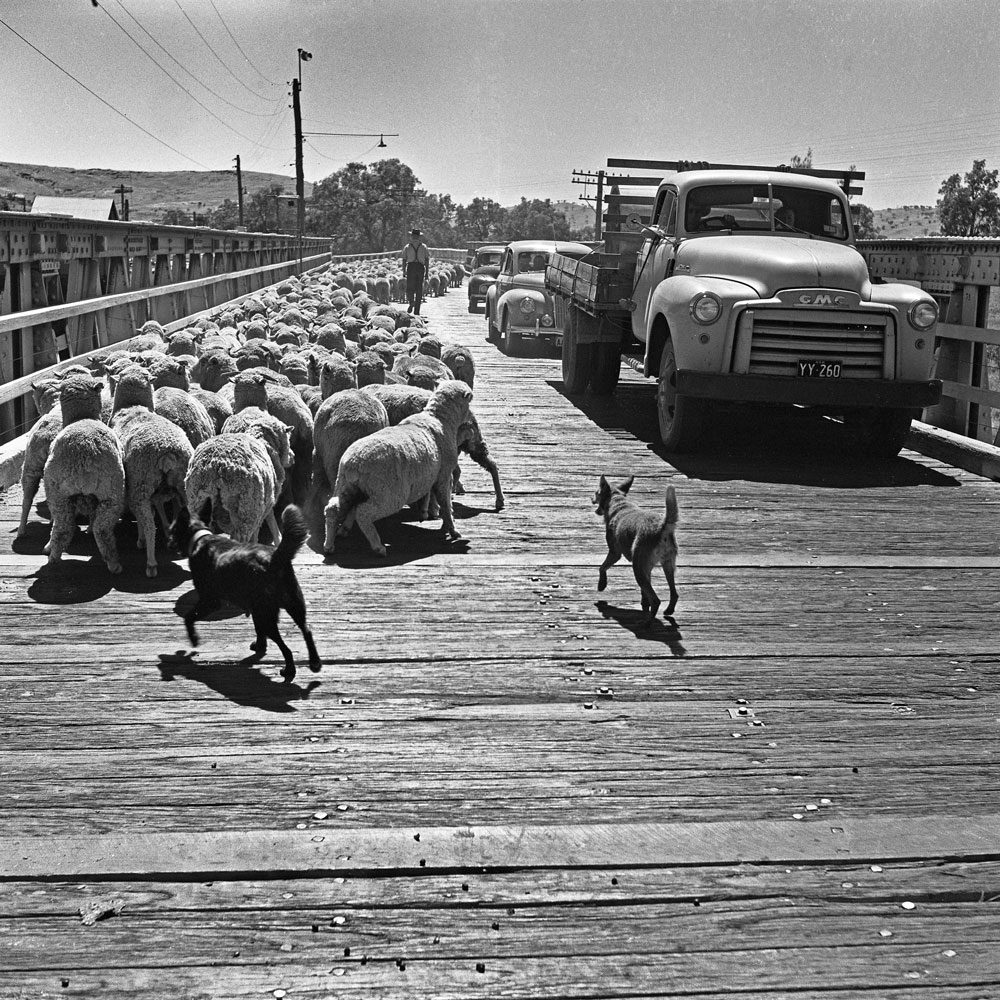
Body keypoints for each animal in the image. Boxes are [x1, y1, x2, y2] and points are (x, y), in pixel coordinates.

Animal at [43, 374, 126, 572]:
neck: (82, 417)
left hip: (57, 494)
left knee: (62, 527)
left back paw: (53, 557)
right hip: (112, 493)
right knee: (102, 529)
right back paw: (113, 563)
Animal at [111, 368, 193, 580]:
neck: (133, 407)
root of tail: (167, 452)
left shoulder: (134, 488)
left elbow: (144, 516)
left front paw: (141, 539)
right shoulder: (157, 491)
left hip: (141, 483)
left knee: (148, 524)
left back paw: (151, 562)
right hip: (184, 484)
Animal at [324, 380, 472, 560]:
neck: (438, 418)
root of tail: (354, 463)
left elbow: (429, 495)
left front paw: (426, 512)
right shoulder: (444, 475)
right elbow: (445, 502)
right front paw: (452, 529)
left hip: (345, 484)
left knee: (333, 509)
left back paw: (329, 544)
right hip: (389, 494)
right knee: (363, 513)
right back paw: (378, 547)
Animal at [592, 476, 680, 624]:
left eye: (596, 493)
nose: (591, 499)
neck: (619, 503)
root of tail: (662, 527)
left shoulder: (615, 553)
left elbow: (602, 567)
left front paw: (601, 584)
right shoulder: (647, 568)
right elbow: (645, 590)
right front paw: (644, 602)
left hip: (637, 568)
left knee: (656, 600)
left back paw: (647, 622)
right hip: (667, 565)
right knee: (674, 593)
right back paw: (668, 610)